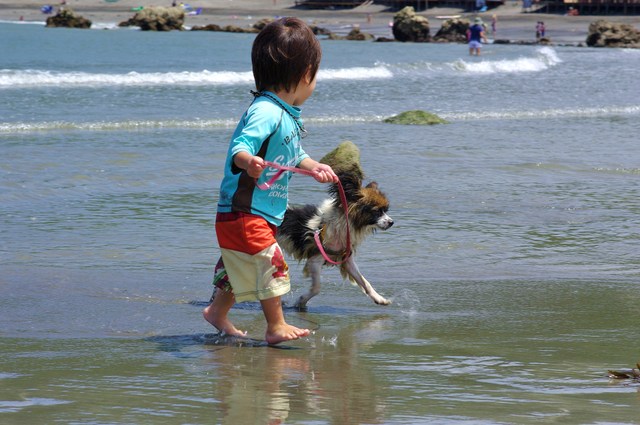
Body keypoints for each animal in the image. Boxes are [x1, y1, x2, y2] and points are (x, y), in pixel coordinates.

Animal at [278, 166, 392, 308]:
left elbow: (364, 282)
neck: (344, 224)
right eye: (376, 211)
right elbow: (317, 288)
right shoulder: (315, 260)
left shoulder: (347, 260)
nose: (391, 222)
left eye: (385, 210)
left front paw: (379, 298)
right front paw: (301, 301)